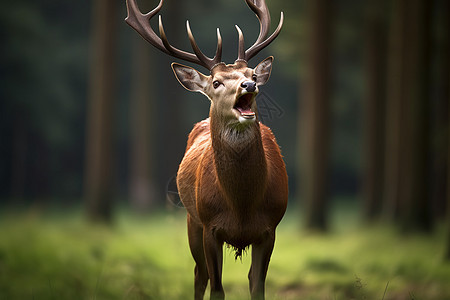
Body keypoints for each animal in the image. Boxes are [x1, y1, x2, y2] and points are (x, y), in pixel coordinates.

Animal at [126, 1, 288, 298]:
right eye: (216, 82)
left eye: (253, 74)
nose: (250, 85)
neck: (242, 205)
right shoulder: (210, 226)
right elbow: (217, 288)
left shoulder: (270, 228)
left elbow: (257, 285)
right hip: (192, 220)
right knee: (199, 275)